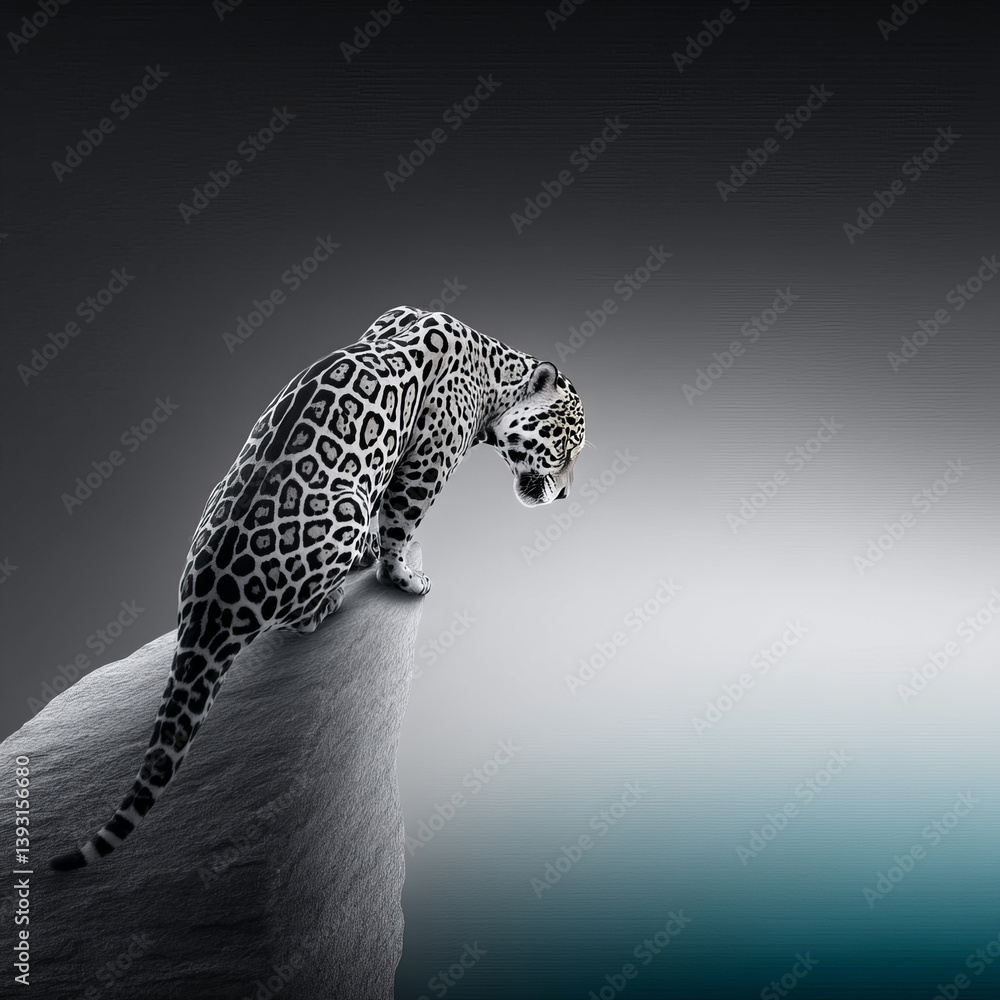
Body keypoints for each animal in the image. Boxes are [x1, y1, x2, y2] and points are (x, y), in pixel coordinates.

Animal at [50, 306, 585, 870]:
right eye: (565, 446)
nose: (565, 496)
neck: (494, 369)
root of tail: (209, 606)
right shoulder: (424, 466)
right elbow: (401, 526)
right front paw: (404, 577)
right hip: (345, 509)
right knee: (295, 619)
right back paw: (332, 596)